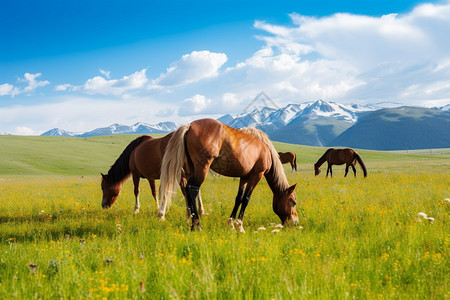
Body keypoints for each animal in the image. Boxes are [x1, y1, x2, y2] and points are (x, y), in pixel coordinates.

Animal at [158, 118, 298, 231]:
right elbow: (246, 199)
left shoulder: (244, 177)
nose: (295, 223)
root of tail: (190, 126)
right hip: (202, 168)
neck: (265, 150)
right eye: (293, 202)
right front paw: (240, 226)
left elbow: (239, 198)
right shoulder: (257, 175)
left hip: (191, 169)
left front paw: (231, 224)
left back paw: (193, 224)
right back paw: (197, 226)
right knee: (193, 189)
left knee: (188, 190)